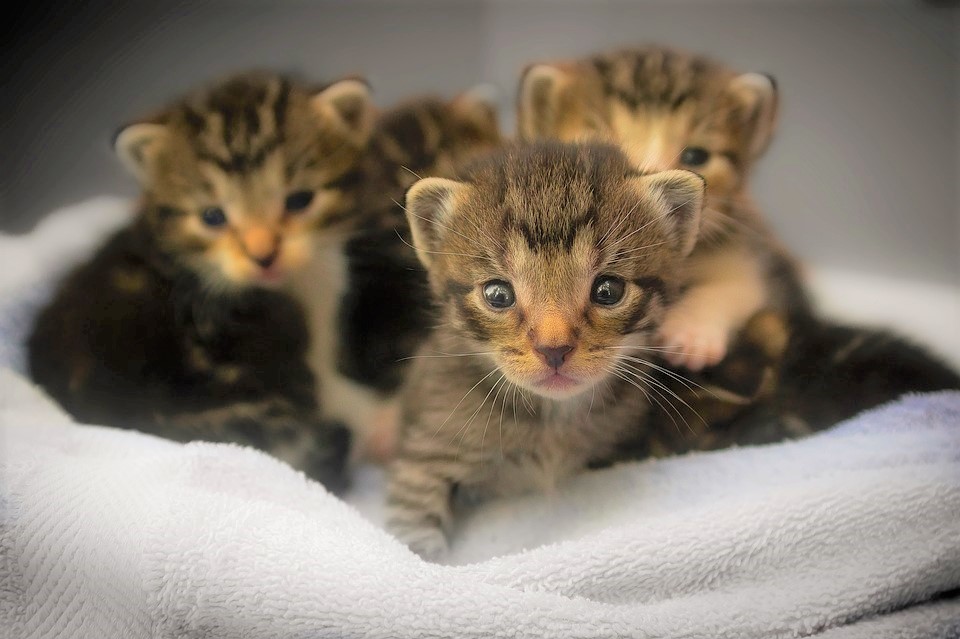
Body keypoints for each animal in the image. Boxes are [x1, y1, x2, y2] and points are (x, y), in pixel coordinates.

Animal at [29, 70, 376, 492]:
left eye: (300, 200)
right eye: (213, 217)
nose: (263, 256)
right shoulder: (301, 344)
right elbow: (333, 389)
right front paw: (379, 418)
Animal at [386, 141, 708, 560]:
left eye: (608, 290)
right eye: (497, 294)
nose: (553, 349)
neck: (552, 420)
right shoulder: (427, 455)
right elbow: (413, 530)